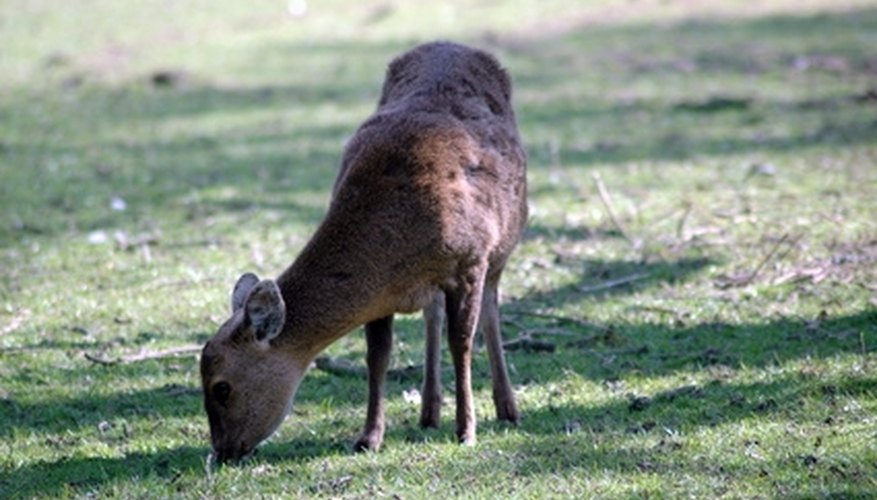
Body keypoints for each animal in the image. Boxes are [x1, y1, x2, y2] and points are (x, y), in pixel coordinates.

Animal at [200, 41, 528, 462]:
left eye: (221, 387)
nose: (222, 450)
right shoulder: (383, 293)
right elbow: (378, 356)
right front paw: (368, 437)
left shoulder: (471, 258)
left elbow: (462, 343)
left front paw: (466, 431)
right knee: (433, 313)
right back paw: (429, 413)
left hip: (506, 240)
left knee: (490, 308)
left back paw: (507, 410)